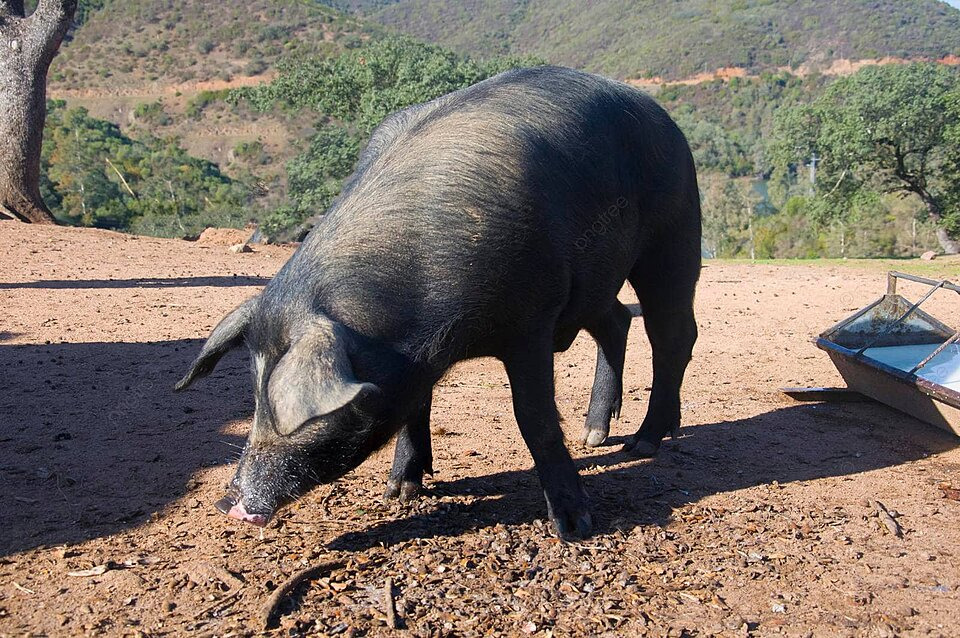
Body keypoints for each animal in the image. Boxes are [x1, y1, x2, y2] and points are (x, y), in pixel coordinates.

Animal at [176, 66, 696, 540]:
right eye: (254, 392)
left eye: (289, 409)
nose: (228, 503)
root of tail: (659, 113)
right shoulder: (417, 357)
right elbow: (414, 406)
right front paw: (400, 492)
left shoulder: (530, 323)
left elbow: (534, 418)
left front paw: (574, 528)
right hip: (594, 283)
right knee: (617, 320)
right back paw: (595, 437)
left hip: (673, 233)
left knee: (672, 334)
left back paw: (643, 444)